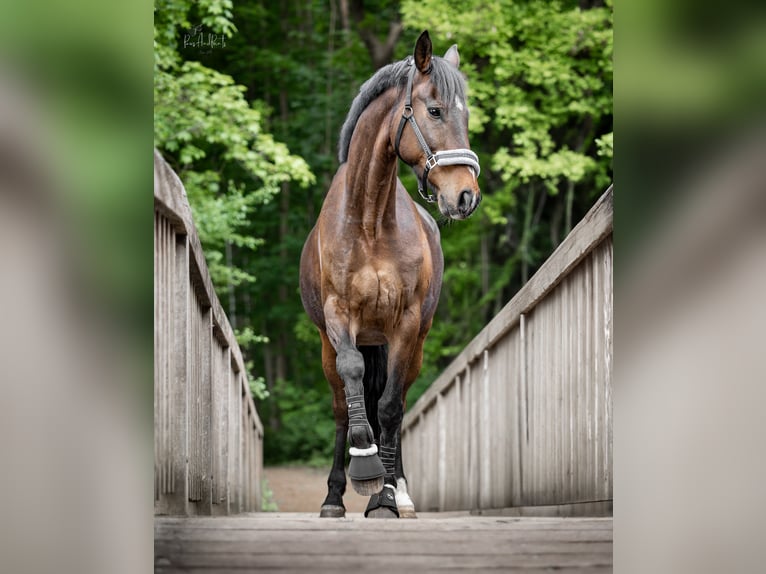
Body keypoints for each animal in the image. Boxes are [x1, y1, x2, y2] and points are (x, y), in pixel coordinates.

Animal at [299, 30, 481, 519]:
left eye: (466, 115)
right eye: (434, 110)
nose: (466, 196)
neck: (369, 219)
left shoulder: (406, 324)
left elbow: (391, 408)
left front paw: (384, 496)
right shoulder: (339, 318)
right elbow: (354, 387)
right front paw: (363, 468)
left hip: (412, 343)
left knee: (392, 404)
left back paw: (398, 488)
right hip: (328, 345)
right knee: (343, 406)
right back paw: (334, 495)